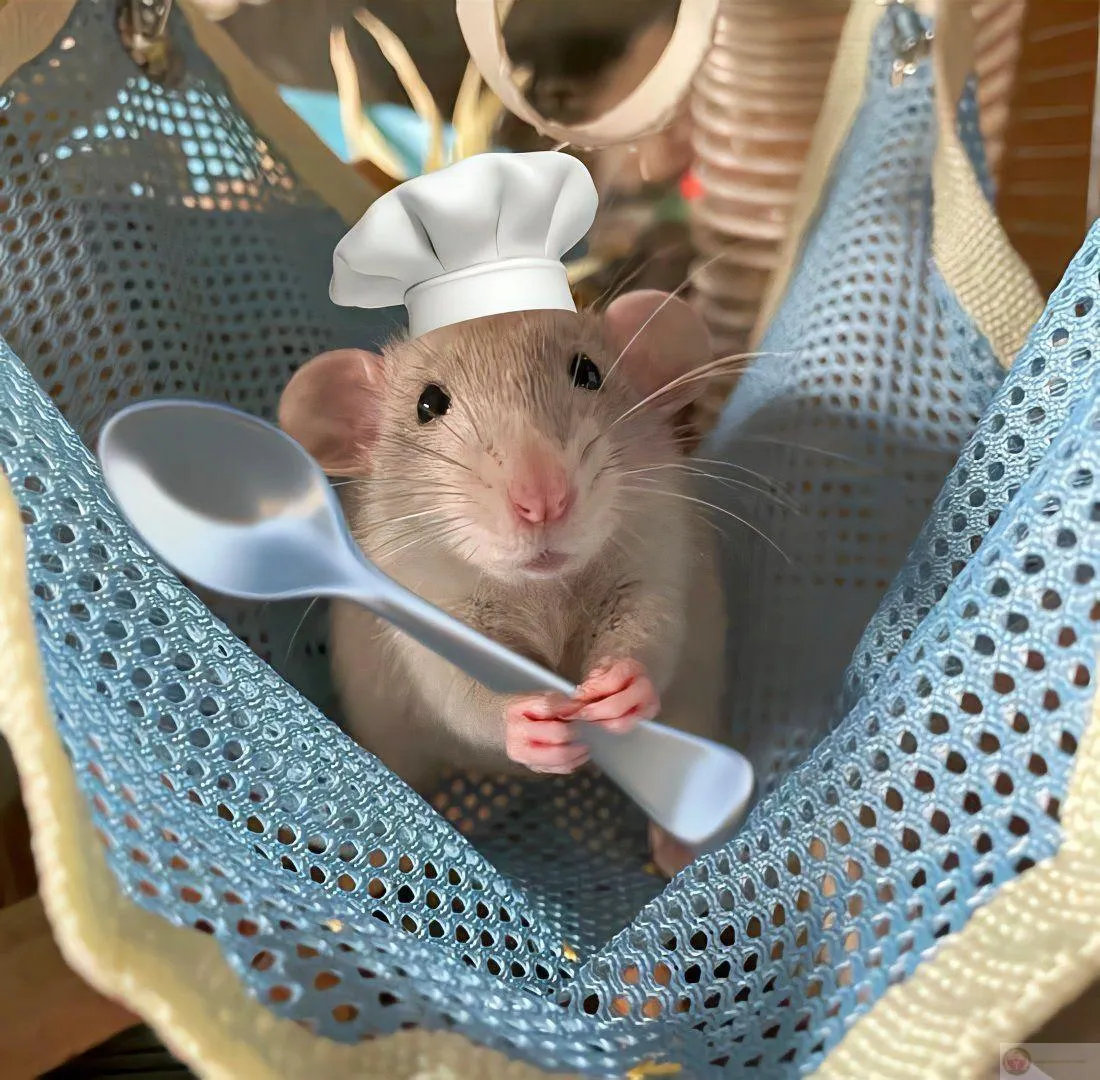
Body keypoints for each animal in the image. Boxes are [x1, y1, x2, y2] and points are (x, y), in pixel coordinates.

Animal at [278, 290, 727, 877]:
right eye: (428, 405)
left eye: (589, 373)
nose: (543, 499)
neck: (542, 587)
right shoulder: (422, 606)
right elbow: (456, 690)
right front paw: (520, 722)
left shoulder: (654, 554)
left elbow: (653, 625)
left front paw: (623, 683)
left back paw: (678, 843)